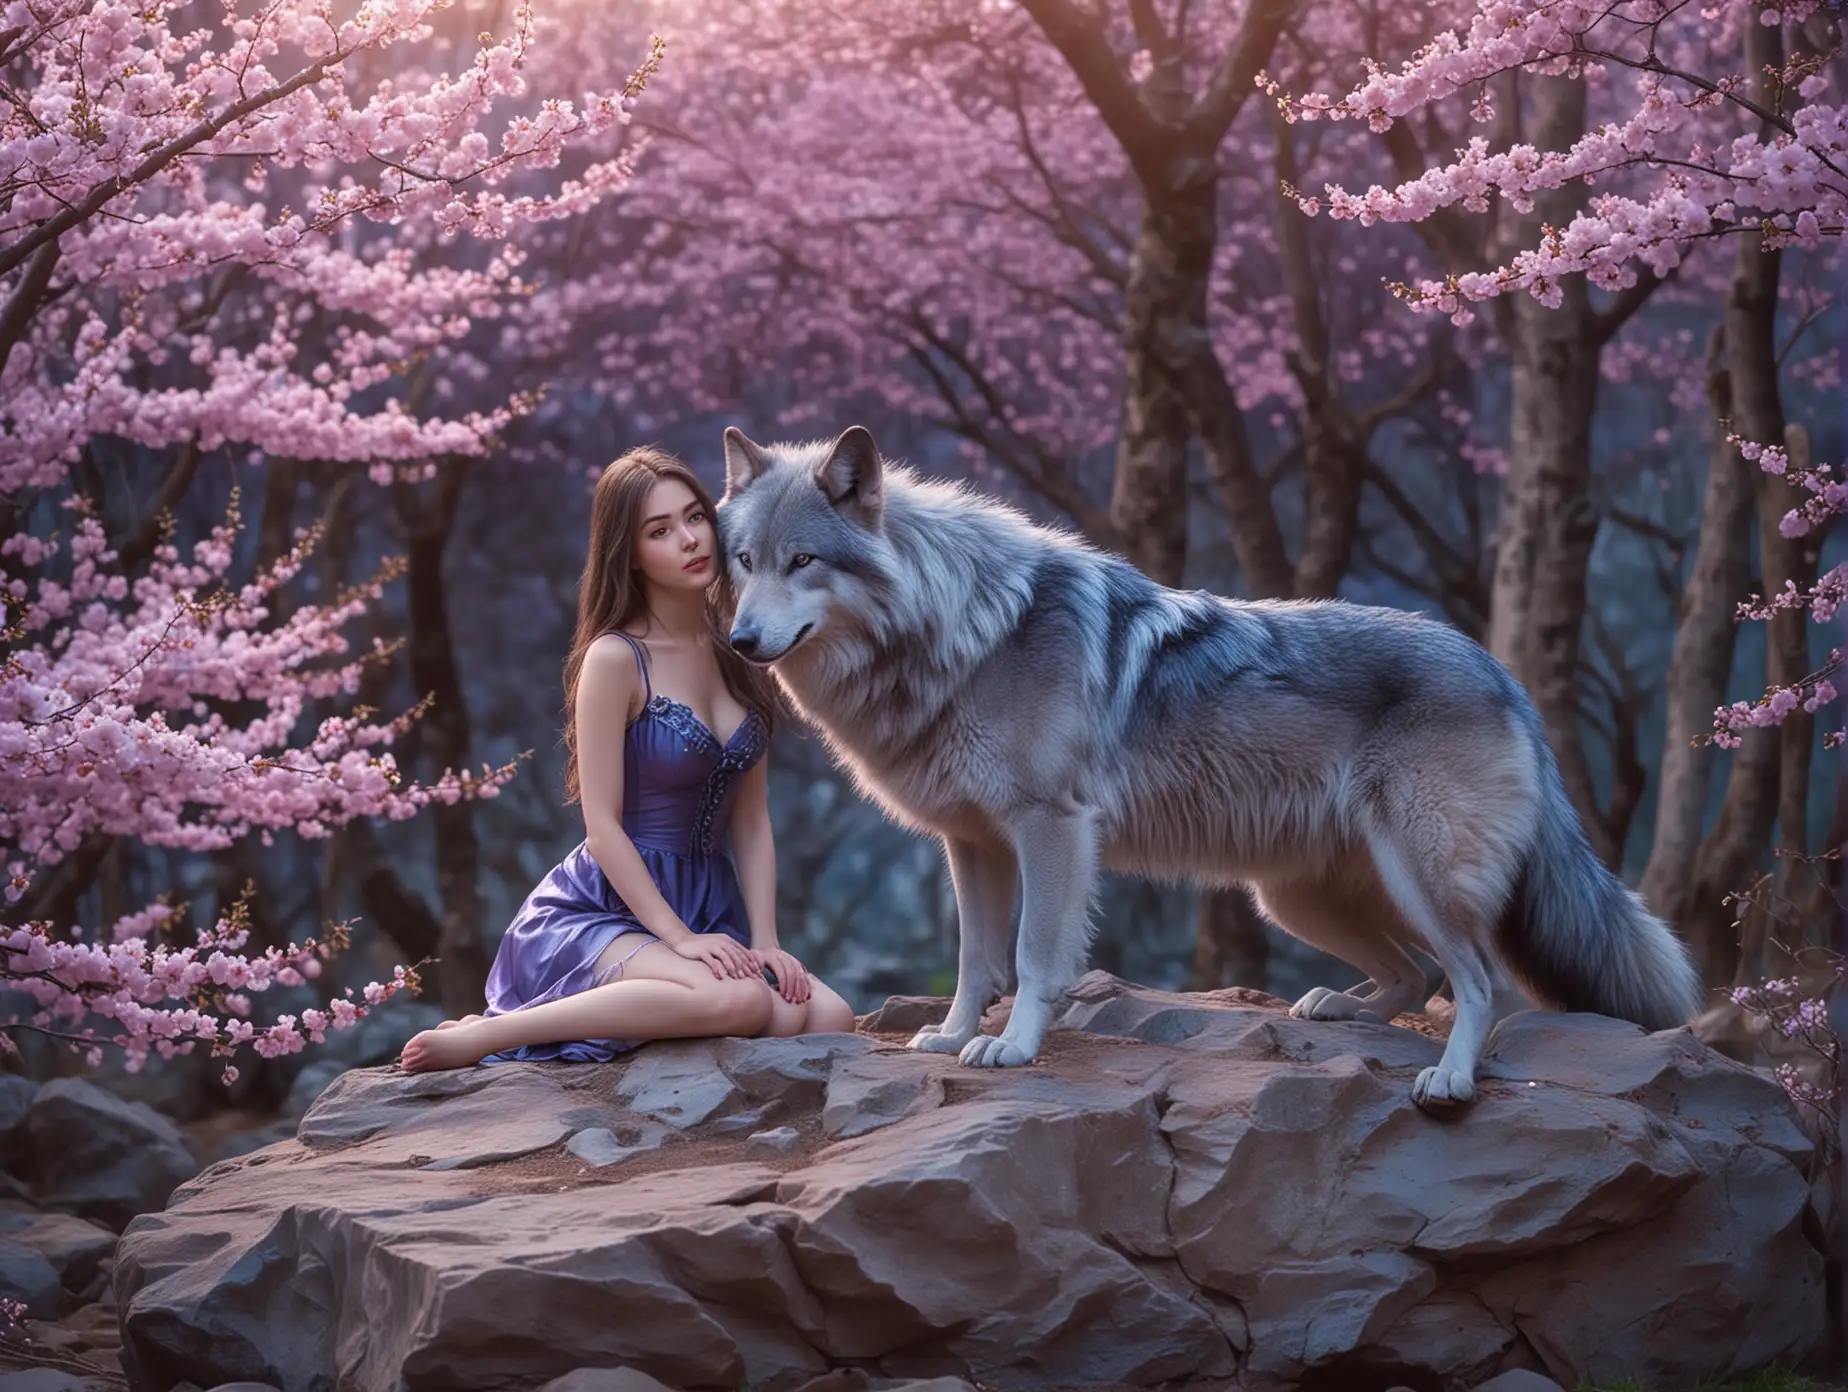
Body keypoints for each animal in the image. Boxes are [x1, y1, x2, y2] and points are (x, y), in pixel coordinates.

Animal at [713, 423, 1692, 1109]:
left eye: (804, 561)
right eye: (744, 562)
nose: (741, 641)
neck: (958, 630)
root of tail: (1501, 672)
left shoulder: (1051, 828)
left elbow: (1031, 957)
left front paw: (1014, 1047)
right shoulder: (973, 844)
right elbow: (972, 959)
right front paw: (953, 1038)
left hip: (1418, 876)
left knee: (1481, 984)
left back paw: (1449, 1080)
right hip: (1297, 900)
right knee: (1416, 975)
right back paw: (1340, 1010)